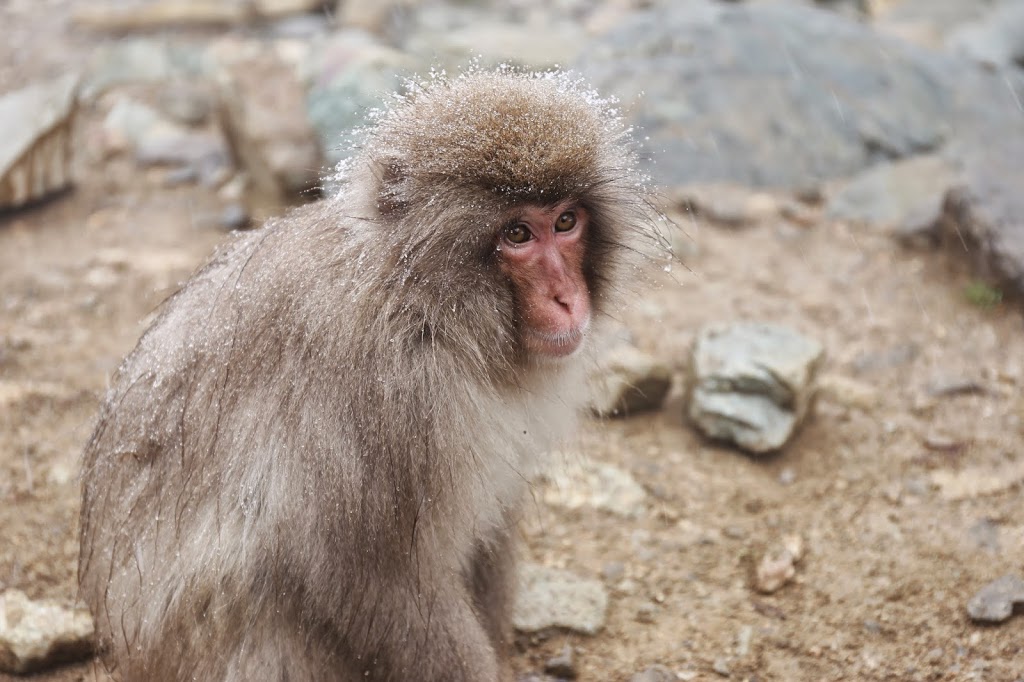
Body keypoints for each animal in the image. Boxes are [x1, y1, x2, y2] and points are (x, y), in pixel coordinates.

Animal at [75, 69, 659, 679]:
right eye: (518, 234)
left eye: (566, 222)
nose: (567, 298)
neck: (423, 305)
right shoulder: (387, 394)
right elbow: (365, 574)